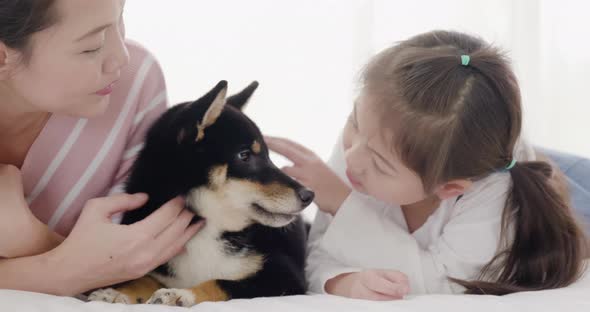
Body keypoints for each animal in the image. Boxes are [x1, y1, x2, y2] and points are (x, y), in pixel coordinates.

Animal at [88, 81, 314, 308]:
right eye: (244, 155)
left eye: (268, 156)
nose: (309, 195)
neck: (209, 228)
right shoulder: (156, 266)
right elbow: (141, 279)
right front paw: (114, 293)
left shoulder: (285, 277)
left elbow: (218, 282)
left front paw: (180, 294)